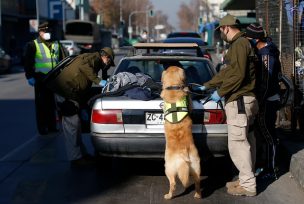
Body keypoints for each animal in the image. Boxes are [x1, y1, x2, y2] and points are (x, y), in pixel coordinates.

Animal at [160, 65, 201, 199]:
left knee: (173, 183)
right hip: (196, 165)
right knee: (197, 181)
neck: (173, 87)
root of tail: (182, 154)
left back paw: (168, 196)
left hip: (168, 168)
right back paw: (198, 195)